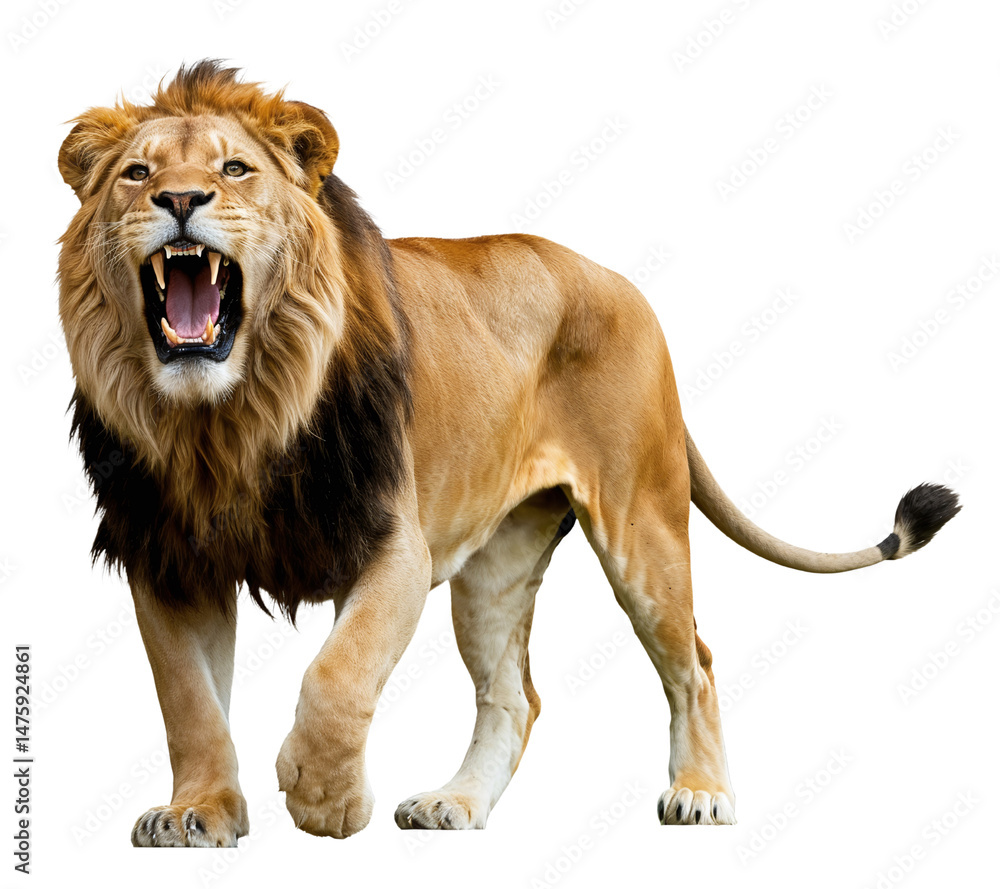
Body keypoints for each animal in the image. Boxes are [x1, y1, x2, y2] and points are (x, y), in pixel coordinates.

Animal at [57, 61, 960, 847]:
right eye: (137, 173)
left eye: (235, 168)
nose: (180, 198)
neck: (226, 421)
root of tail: (622, 282)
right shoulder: (170, 559)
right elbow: (190, 704)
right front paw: (198, 812)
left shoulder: (396, 544)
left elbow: (337, 674)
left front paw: (324, 797)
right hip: (496, 565)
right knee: (513, 696)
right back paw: (455, 803)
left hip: (643, 527)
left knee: (694, 662)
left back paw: (701, 792)